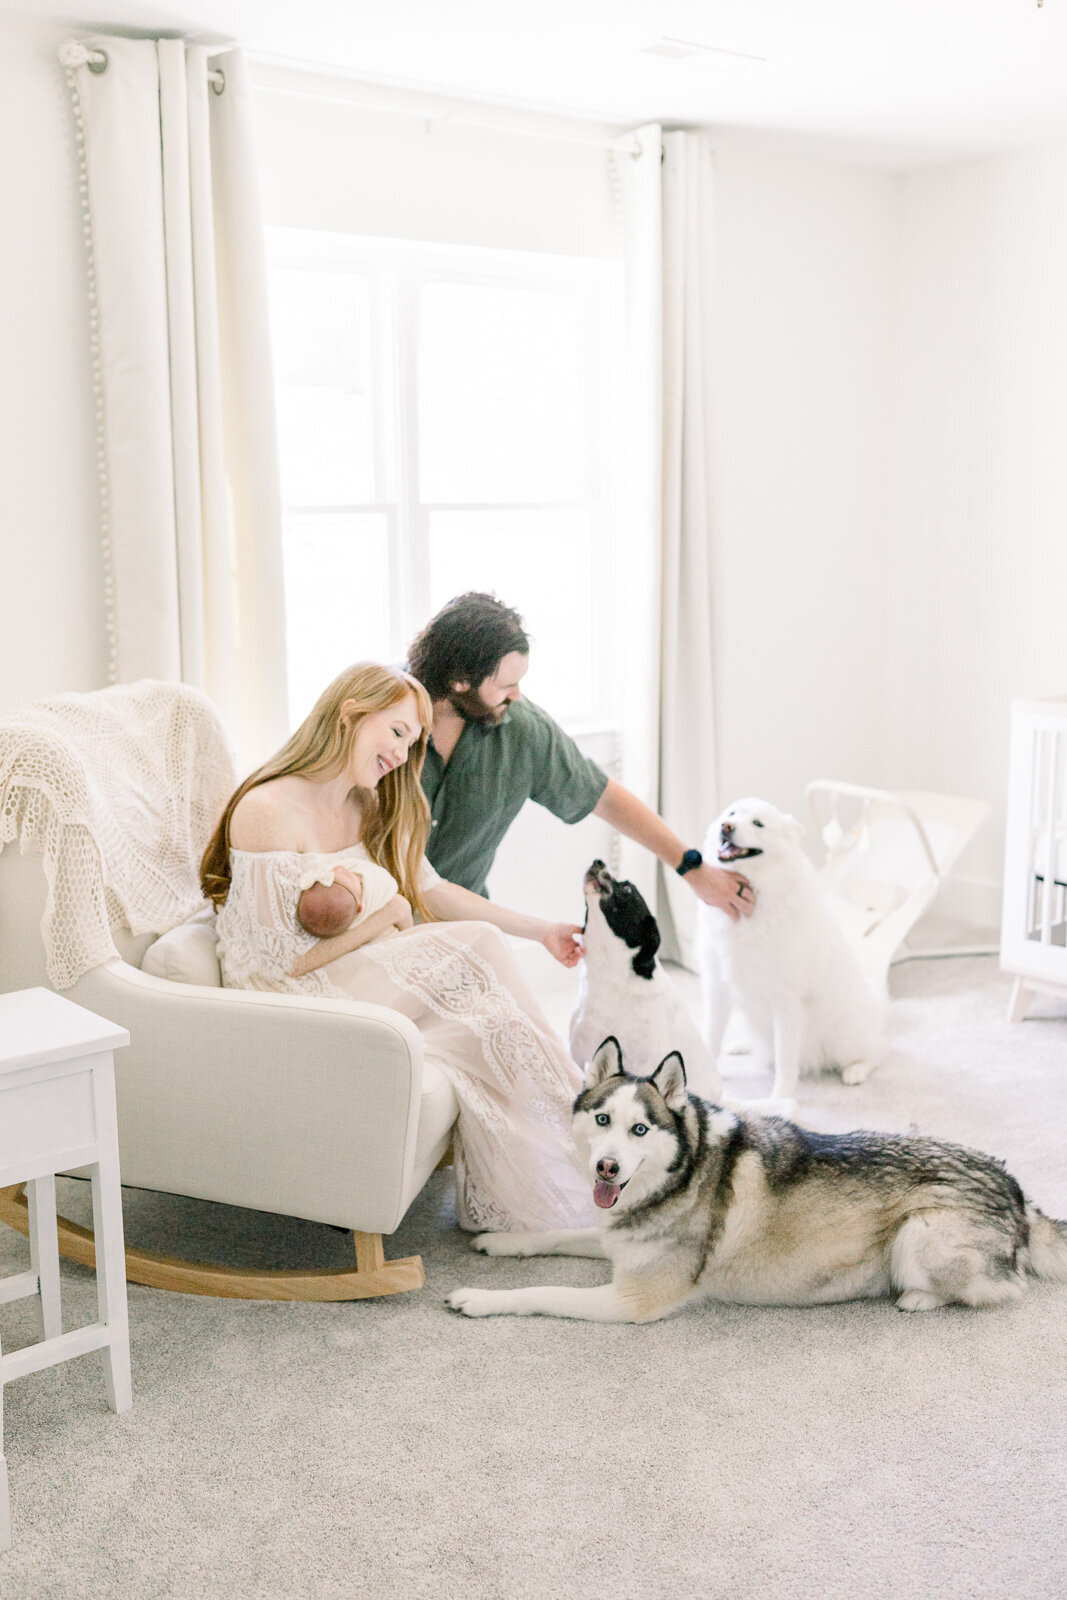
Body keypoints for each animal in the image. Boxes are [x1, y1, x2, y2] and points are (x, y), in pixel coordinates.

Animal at [694, 796, 883, 1107]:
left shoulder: (784, 1000)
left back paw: (856, 1071)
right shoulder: (718, 986)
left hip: (843, 1039)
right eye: (732, 813)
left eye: (758, 823)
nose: (726, 826)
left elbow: (784, 1058)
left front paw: (779, 1099)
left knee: (878, 1053)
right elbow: (710, 1039)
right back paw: (740, 1046)